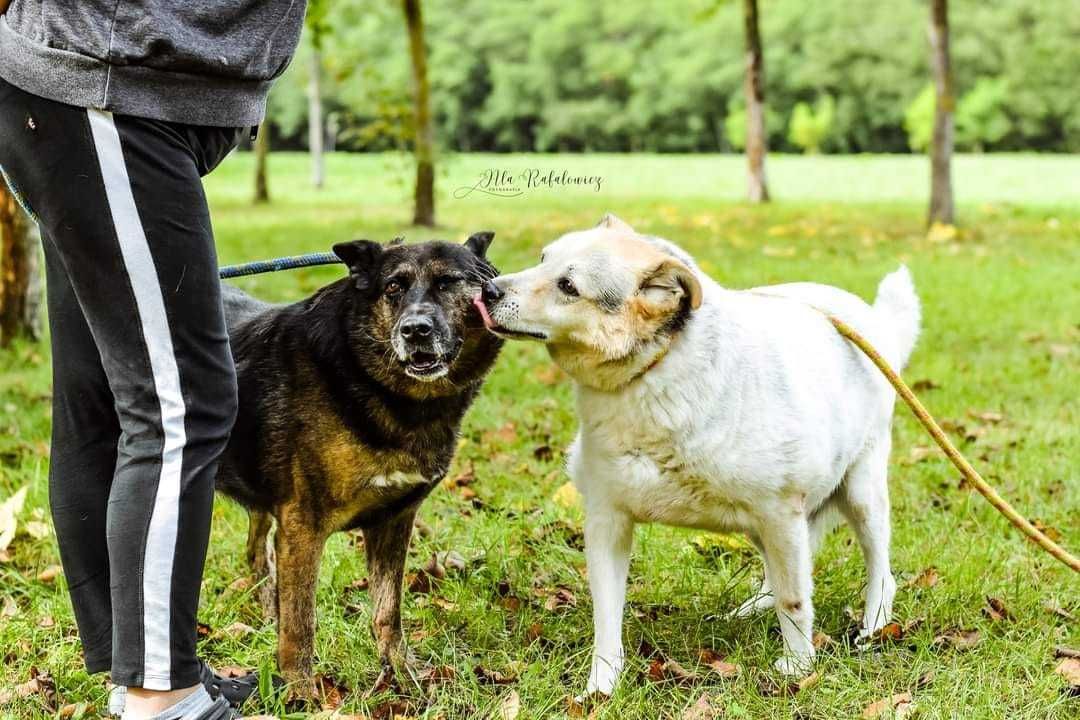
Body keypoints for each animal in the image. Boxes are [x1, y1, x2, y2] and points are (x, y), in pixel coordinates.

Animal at [477, 215, 924, 699]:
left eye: (568, 285)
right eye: (543, 257)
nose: (488, 290)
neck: (652, 373)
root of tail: (872, 320)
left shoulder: (780, 511)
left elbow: (795, 600)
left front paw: (798, 667)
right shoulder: (607, 520)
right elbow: (606, 618)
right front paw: (602, 686)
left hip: (860, 493)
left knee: (878, 569)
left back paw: (874, 624)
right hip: (759, 524)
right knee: (778, 571)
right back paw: (754, 606)